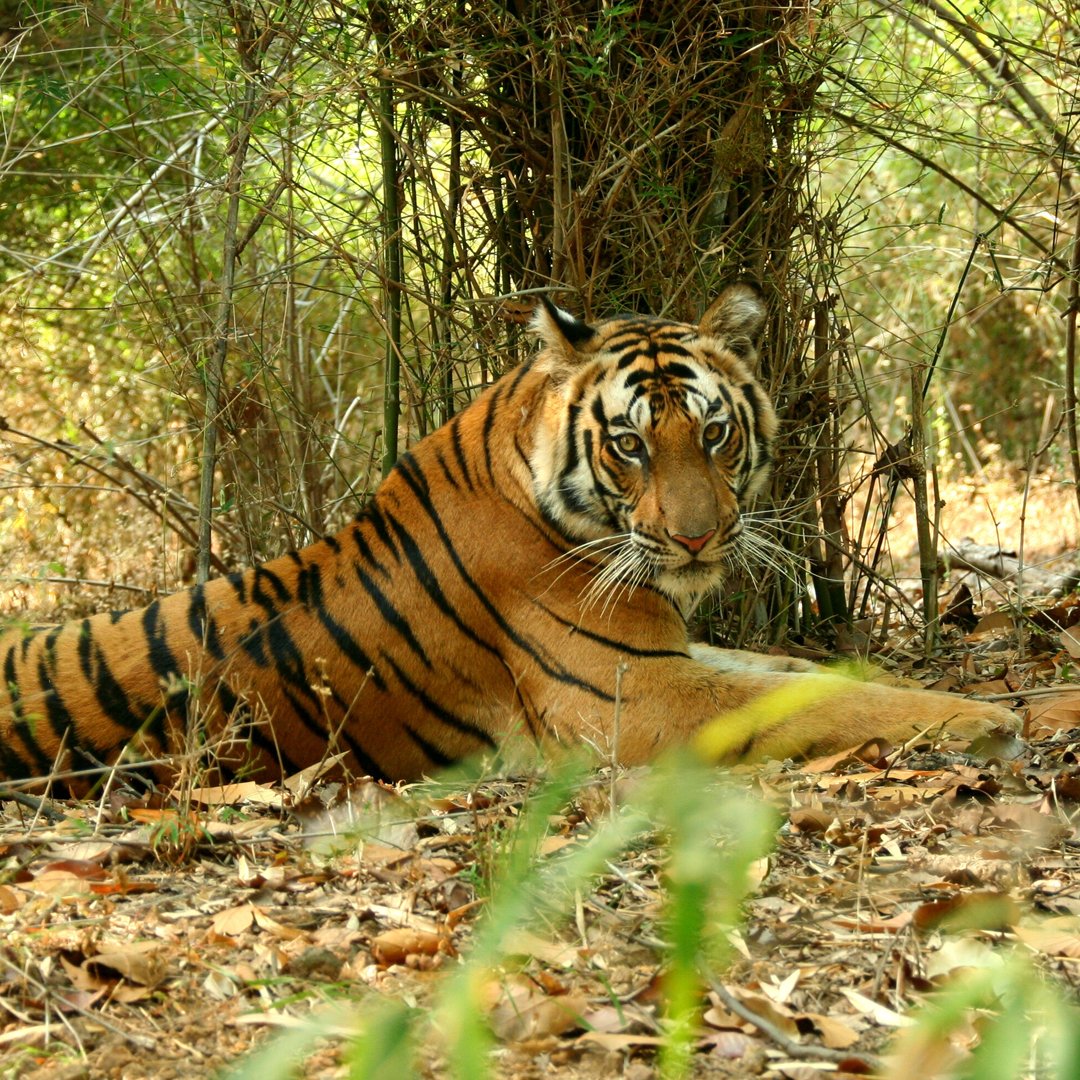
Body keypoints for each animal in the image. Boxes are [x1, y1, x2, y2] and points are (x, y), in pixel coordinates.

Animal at [0, 283, 1019, 793]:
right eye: (630, 444)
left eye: (715, 432)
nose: (697, 541)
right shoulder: (644, 695)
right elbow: (823, 704)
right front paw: (990, 720)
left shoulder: (672, 651)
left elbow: (808, 672)